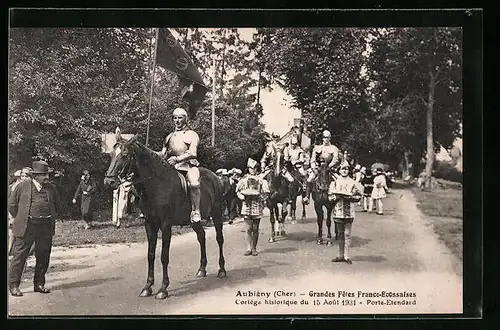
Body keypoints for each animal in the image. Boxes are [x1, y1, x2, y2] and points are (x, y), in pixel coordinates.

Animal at [103, 129, 227, 300]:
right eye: (111, 155)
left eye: (125, 155)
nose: (109, 182)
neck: (156, 183)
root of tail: (216, 178)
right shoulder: (149, 224)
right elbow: (150, 254)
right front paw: (147, 287)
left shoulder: (166, 224)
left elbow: (164, 256)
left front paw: (163, 288)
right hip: (194, 222)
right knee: (201, 237)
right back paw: (202, 269)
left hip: (217, 215)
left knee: (219, 239)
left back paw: (222, 270)